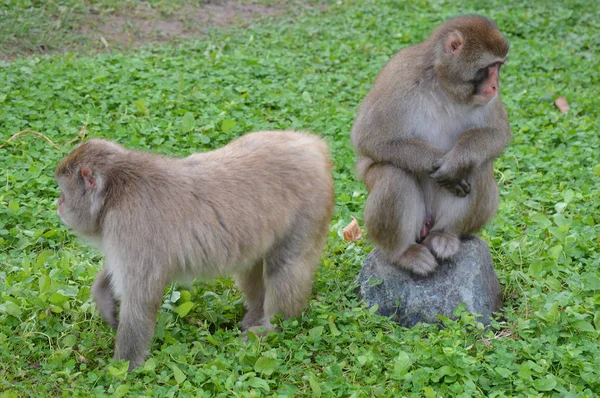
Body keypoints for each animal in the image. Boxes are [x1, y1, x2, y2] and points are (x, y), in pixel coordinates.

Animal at [55, 131, 338, 370]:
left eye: (62, 189)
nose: (58, 203)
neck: (116, 191)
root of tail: (313, 145)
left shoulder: (128, 224)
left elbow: (140, 298)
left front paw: (122, 369)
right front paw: (103, 296)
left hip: (310, 205)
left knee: (287, 264)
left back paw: (270, 329)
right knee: (253, 263)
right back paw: (256, 314)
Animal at [352, 16, 510, 276]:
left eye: (499, 66)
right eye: (489, 67)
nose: (496, 86)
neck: (444, 84)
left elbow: (497, 133)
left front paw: (456, 162)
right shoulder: (400, 76)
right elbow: (368, 138)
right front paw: (433, 161)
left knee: (479, 166)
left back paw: (445, 235)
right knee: (394, 174)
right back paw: (403, 253)